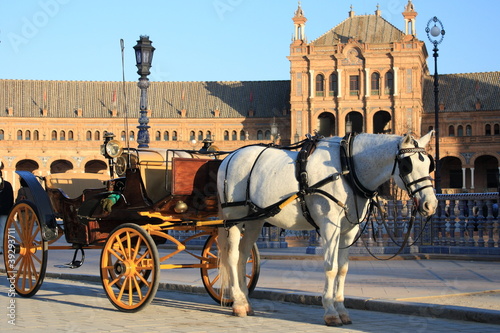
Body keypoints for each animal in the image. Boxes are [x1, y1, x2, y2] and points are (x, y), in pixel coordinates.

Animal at [217, 132, 436, 324]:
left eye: (429, 165)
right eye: (407, 166)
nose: (431, 205)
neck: (347, 168)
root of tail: (229, 158)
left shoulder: (349, 230)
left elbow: (343, 269)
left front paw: (342, 310)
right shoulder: (329, 226)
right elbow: (331, 267)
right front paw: (330, 312)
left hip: (255, 220)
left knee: (244, 256)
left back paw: (246, 301)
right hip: (234, 218)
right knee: (232, 256)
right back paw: (238, 303)